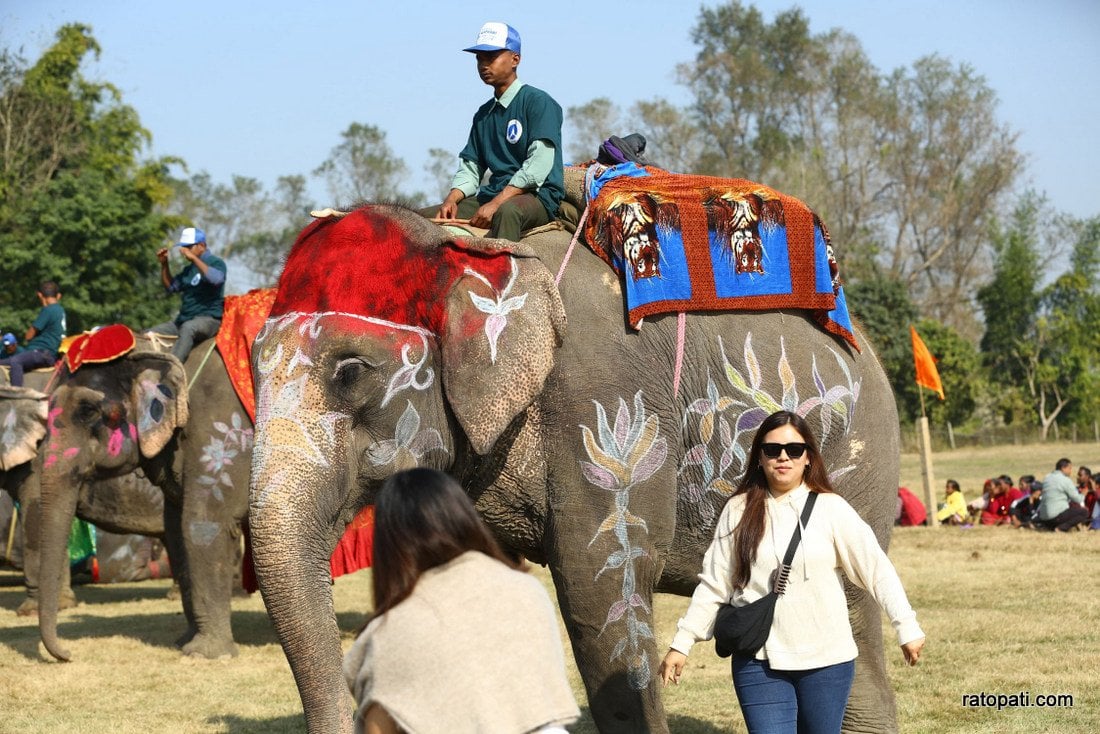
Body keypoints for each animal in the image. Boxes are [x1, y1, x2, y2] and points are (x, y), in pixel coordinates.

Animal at [34, 332, 253, 660]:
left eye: (87, 411)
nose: (68, 653)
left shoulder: (220, 433)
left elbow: (203, 521)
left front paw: (204, 654)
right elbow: (175, 528)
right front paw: (183, 642)